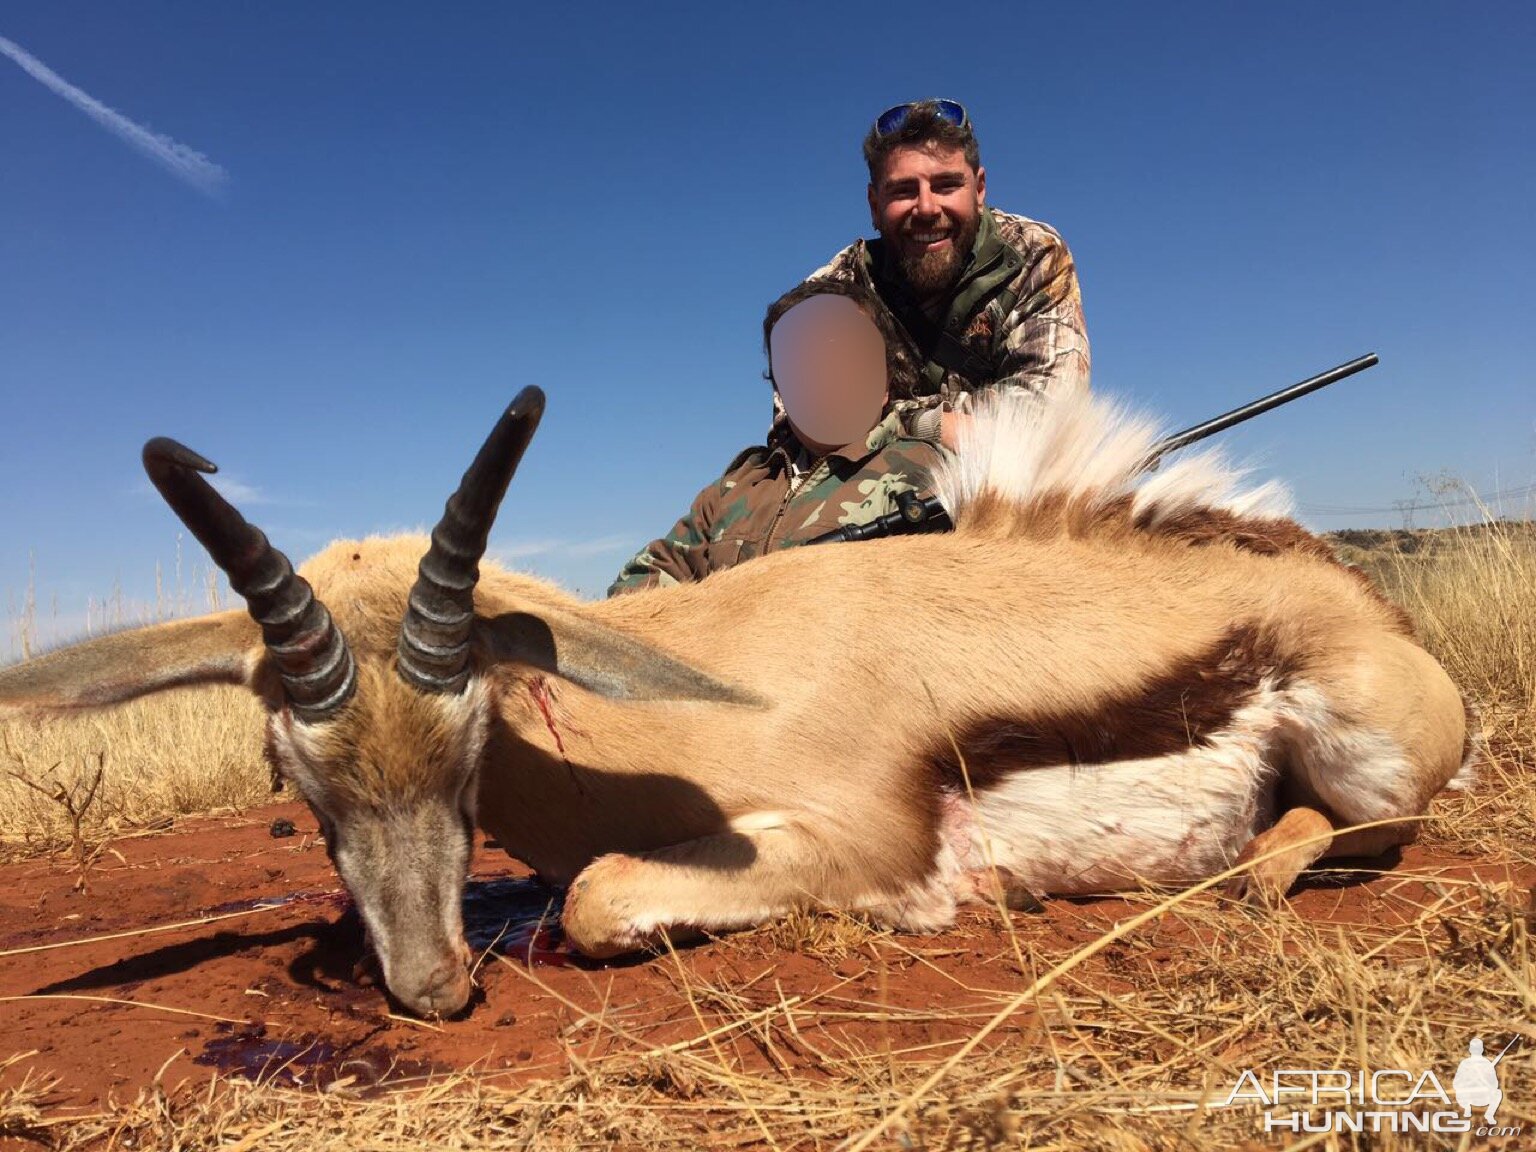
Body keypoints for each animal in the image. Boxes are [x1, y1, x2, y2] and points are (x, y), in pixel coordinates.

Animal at [0, 390, 1474, 1019]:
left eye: (473, 738)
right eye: (297, 782)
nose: (432, 991)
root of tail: (1347, 591)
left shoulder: (862, 845)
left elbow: (598, 897)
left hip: (1369, 763)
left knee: (1341, 833)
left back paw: (1231, 879)